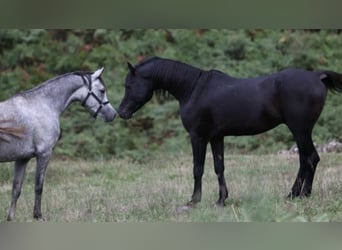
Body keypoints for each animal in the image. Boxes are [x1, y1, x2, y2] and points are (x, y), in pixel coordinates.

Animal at [0, 67, 116, 221]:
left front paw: (10, 218)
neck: (43, 105)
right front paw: (38, 216)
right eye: (102, 90)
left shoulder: (22, 159)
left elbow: (16, 189)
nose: (113, 114)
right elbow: (38, 186)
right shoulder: (44, 154)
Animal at [118, 56, 342, 207]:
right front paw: (221, 200)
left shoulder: (198, 137)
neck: (193, 89)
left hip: (300, 129)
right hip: (300, 131)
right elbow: (219, 167)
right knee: (305, 159)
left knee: (310, 158)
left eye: (129, 85)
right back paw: (293, 194)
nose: (121, 112)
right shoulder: (216, 137)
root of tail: (317, 76)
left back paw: (303, 195)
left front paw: (194, 201)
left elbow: (198, 168)